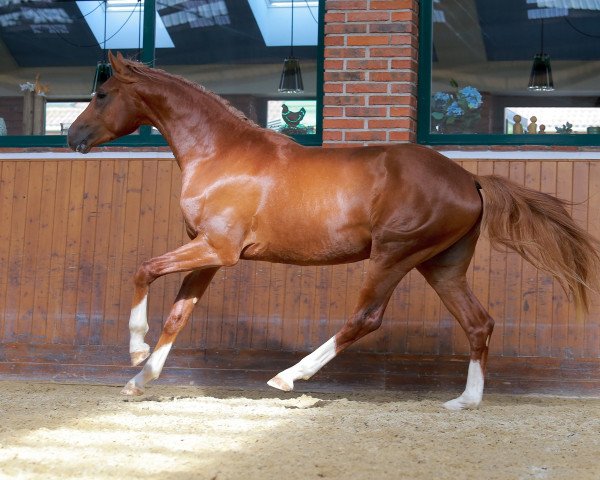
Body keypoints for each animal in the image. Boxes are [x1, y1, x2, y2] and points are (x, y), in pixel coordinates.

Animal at [69, 54, 596, 410]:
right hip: (440, 265)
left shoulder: (217, 249)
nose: (72, 137)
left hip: (394, 255)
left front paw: (135, 351)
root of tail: (470, 178)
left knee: (365, 318)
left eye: (102, 94)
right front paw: (140, 380)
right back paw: (465, 401)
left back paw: (288, 377)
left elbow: (144, 270)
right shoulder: (209, 254)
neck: (220, 153)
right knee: (478, 322)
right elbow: (179, 314)